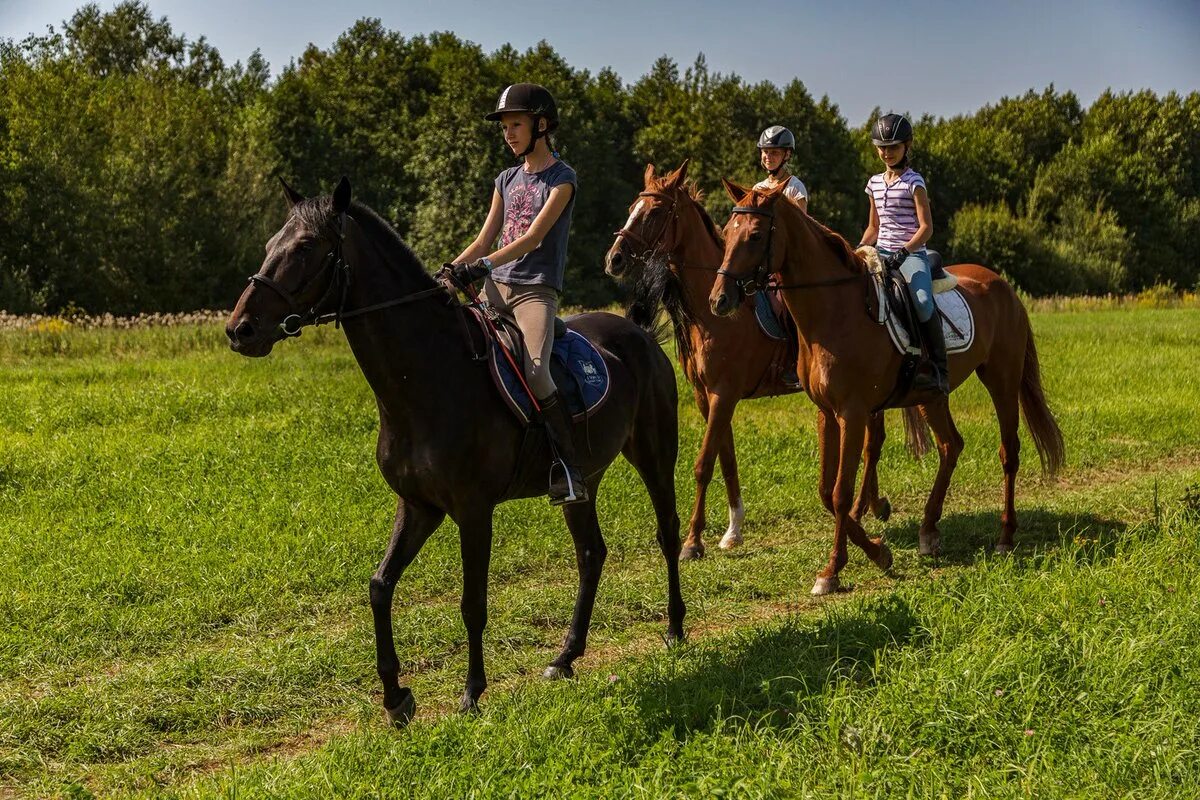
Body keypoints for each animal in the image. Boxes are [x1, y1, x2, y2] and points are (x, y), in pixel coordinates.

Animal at [225, 179, 686, 724]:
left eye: (303, 248)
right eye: (271, 243)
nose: (240, 329)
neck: (426, 378)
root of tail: (637, 330)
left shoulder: (472, 511)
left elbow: (472, 603)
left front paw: (471, 692)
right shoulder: (418, 506)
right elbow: (380, 587)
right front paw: (396, 698)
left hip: (655, 454)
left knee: (667, 532)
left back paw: (674, 629)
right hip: (583, 482)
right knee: (591, 553)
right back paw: (565, 657)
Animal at [604, 160, 897, 563]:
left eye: (656, 212)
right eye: (634, 207)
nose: (614, 259)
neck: (715, 314)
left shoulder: (724, 394)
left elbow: (704, 464)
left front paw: (693, 541)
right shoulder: (707, 397)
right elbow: (725, 460)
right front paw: (732, 531)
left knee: (873, 441)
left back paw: (865, 506)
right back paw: (872, 505)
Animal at [705, 179, 1065, 594]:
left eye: (756, 235)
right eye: (727, 232)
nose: (719, 299)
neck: (833, 311)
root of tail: (1003, 285)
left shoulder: (853, 412)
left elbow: (841, 493)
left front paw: (833, 570)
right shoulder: (826, 413)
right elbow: (826, 491)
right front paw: (878, 552)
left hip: (1002, 380)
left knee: (1009, 452)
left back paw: (1005, 536)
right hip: (931, 397)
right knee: (951, 446)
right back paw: (929, 530)